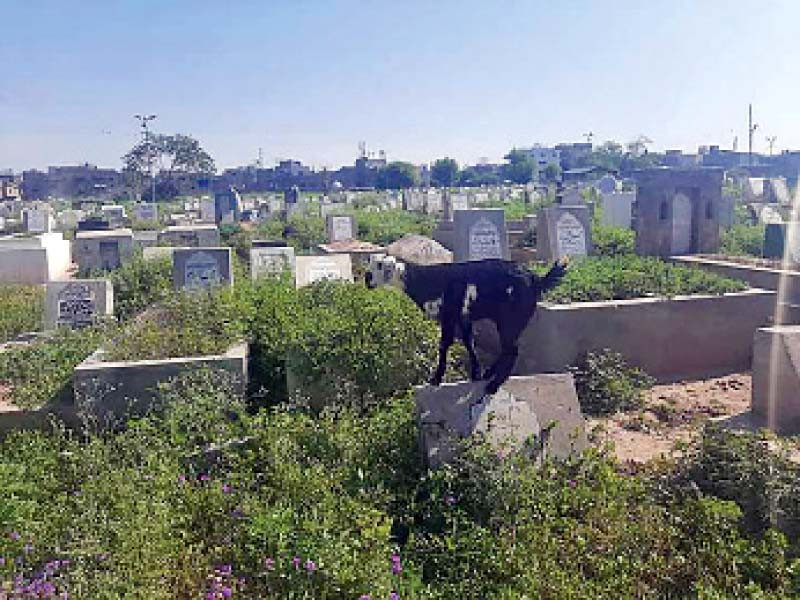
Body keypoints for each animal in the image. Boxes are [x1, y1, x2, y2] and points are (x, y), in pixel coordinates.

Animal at [366, 256, 564, 394]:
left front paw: (435, 379)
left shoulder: (448, 316)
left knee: (512, 350)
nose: (367, 280)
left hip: (511, 320)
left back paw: (493, 385)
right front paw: (476, 374)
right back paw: (488, 375)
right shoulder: (463, 317)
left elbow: (444, 344)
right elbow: (469, 343)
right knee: (507, 349)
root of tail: (537, 279)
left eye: (379, 266)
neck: (429, 280)